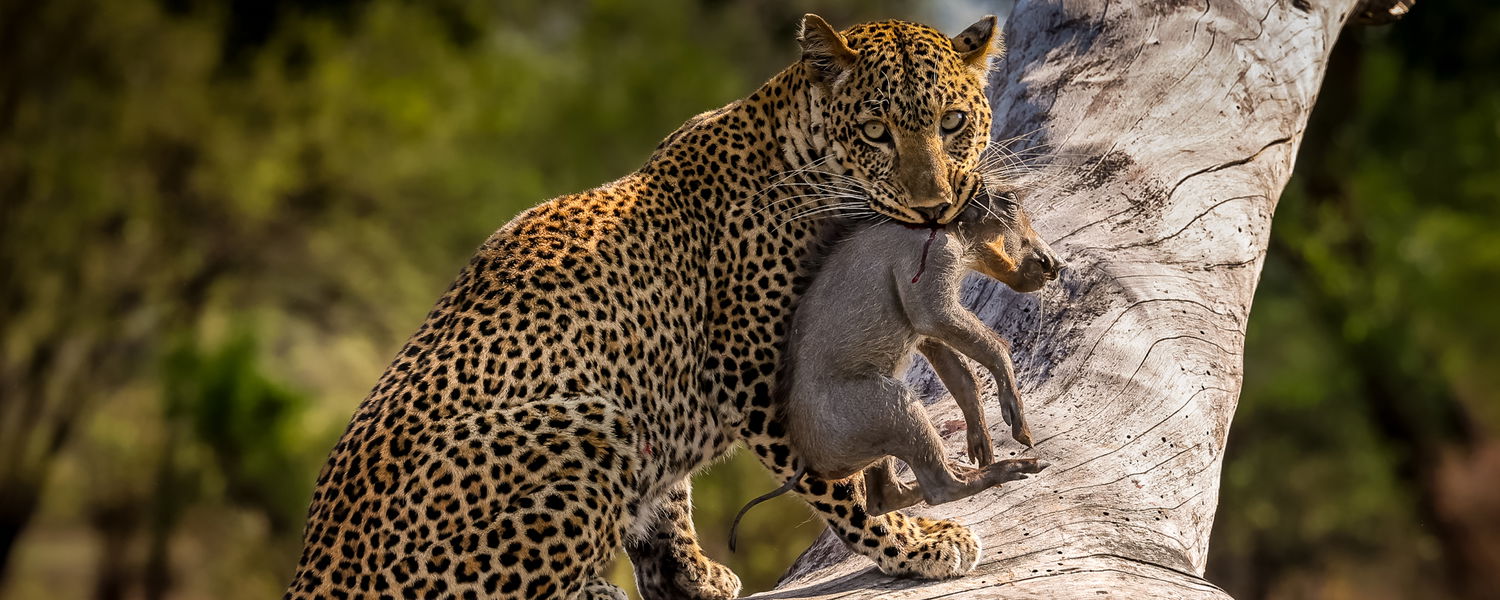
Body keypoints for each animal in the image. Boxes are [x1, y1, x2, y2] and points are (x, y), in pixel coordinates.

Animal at [282, 12, 1008, 600]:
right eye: (876, 132)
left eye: (952, 123)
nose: (934, 207)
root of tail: (311, 571)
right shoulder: (751, 374)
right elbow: (836, 484)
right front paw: (915, 544)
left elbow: (669, 498)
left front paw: (689, 575)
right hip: (584, 425)